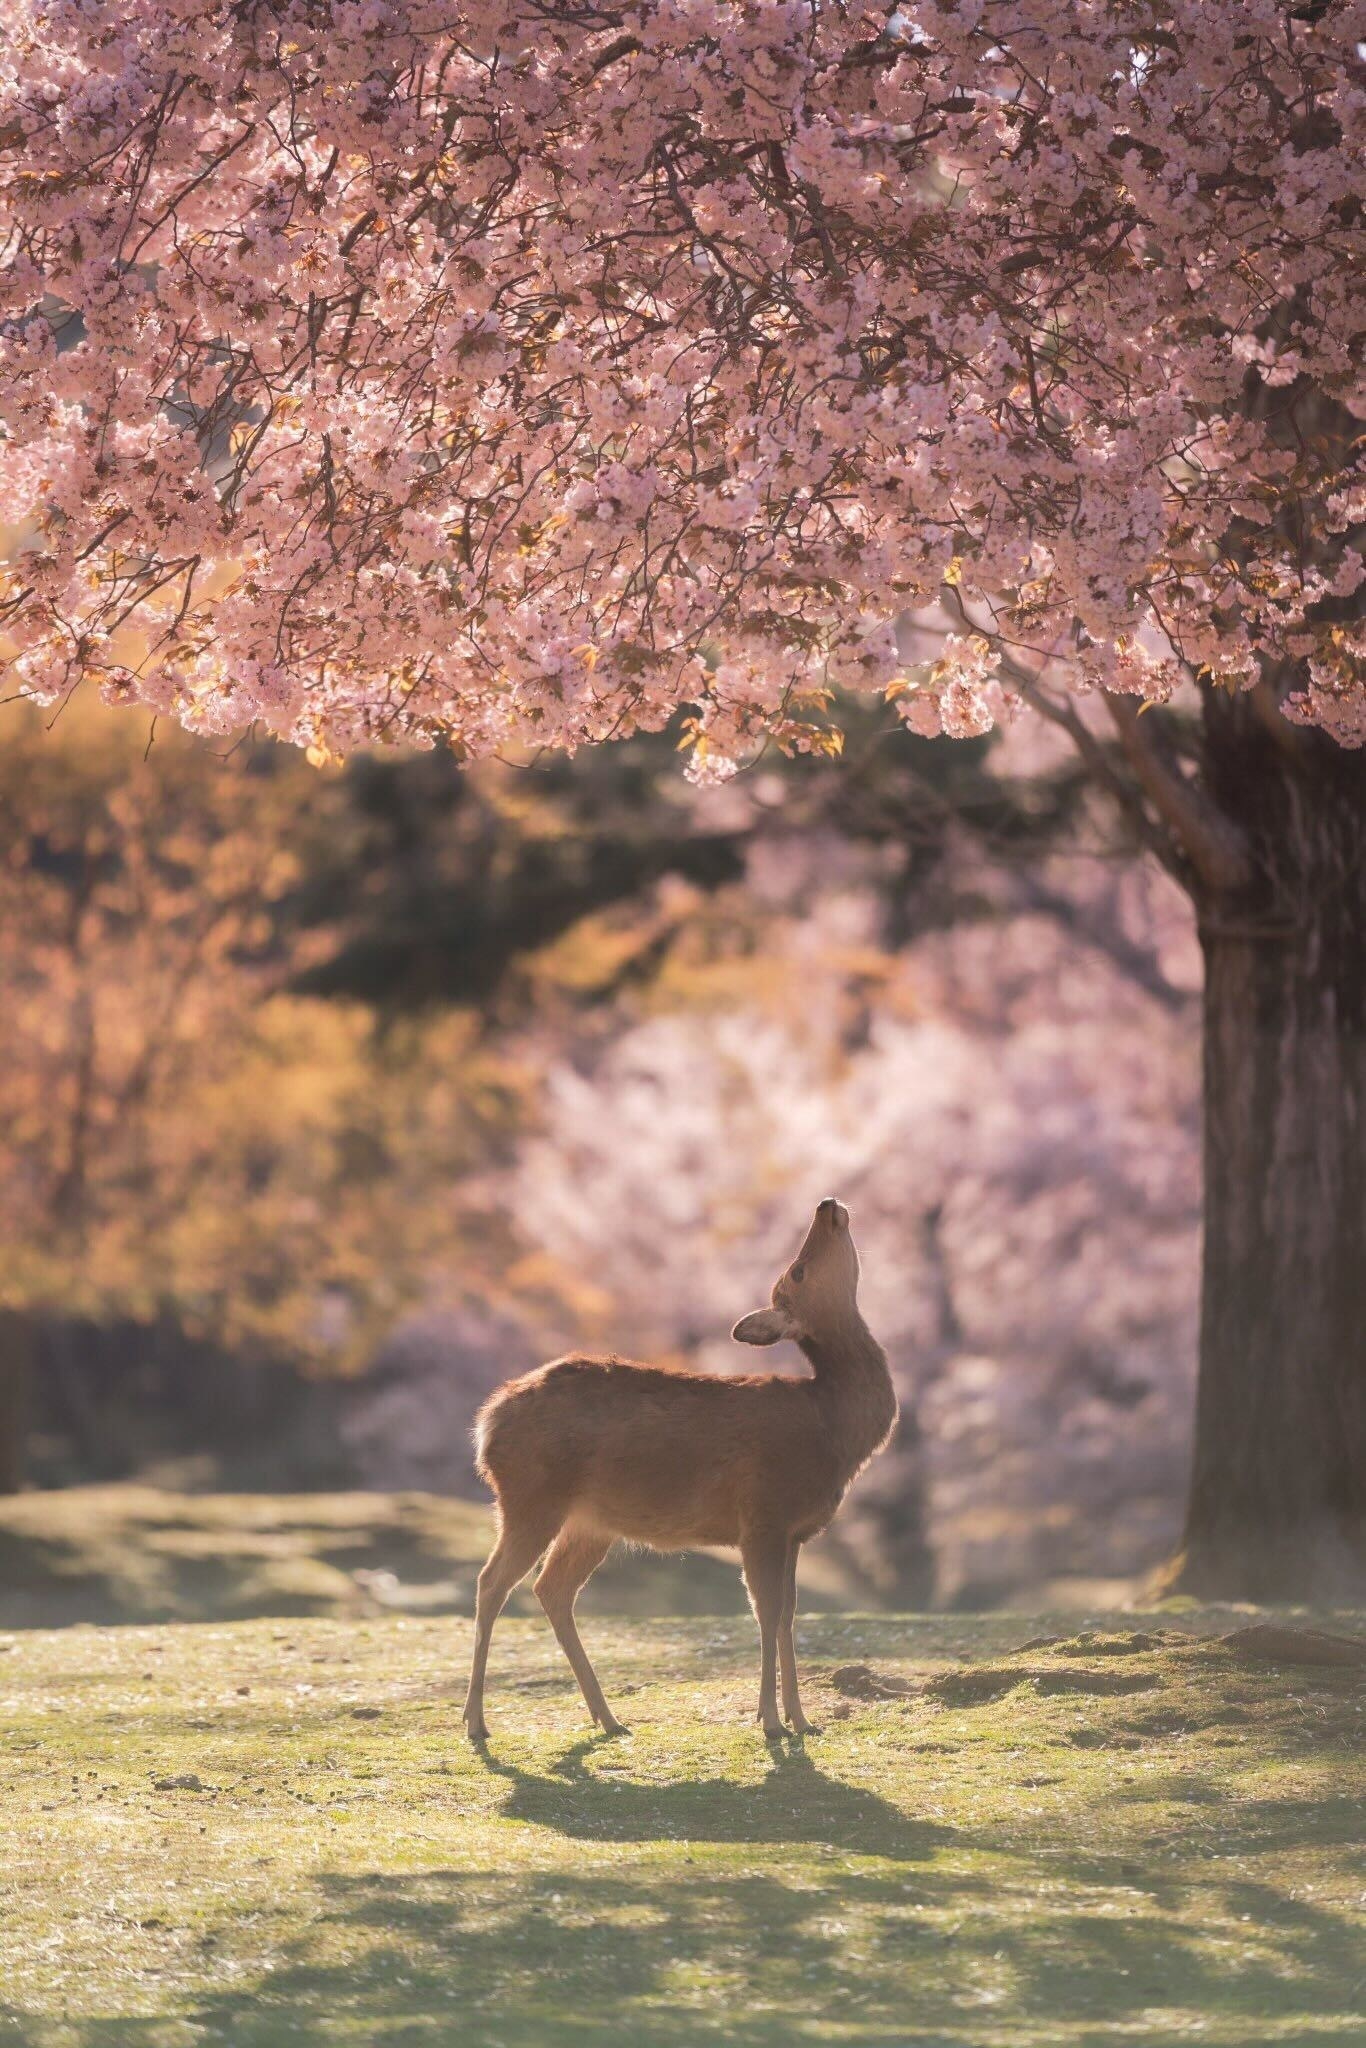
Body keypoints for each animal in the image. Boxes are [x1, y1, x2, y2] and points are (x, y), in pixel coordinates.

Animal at [464, 1196, 901, 1744]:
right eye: (797, 1270)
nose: (827, 1204)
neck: (833, 1430)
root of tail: (487, 1423)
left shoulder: (795, 1532)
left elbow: (788, 1615)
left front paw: (801, 1719)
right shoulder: (763, 1514)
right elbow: (766, 1611)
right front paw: (771, 1721)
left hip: (590, 1521)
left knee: (552, 1588)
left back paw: (608, 1717)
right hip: (530, 1496)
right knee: (491, 1582)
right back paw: (476, 1721)